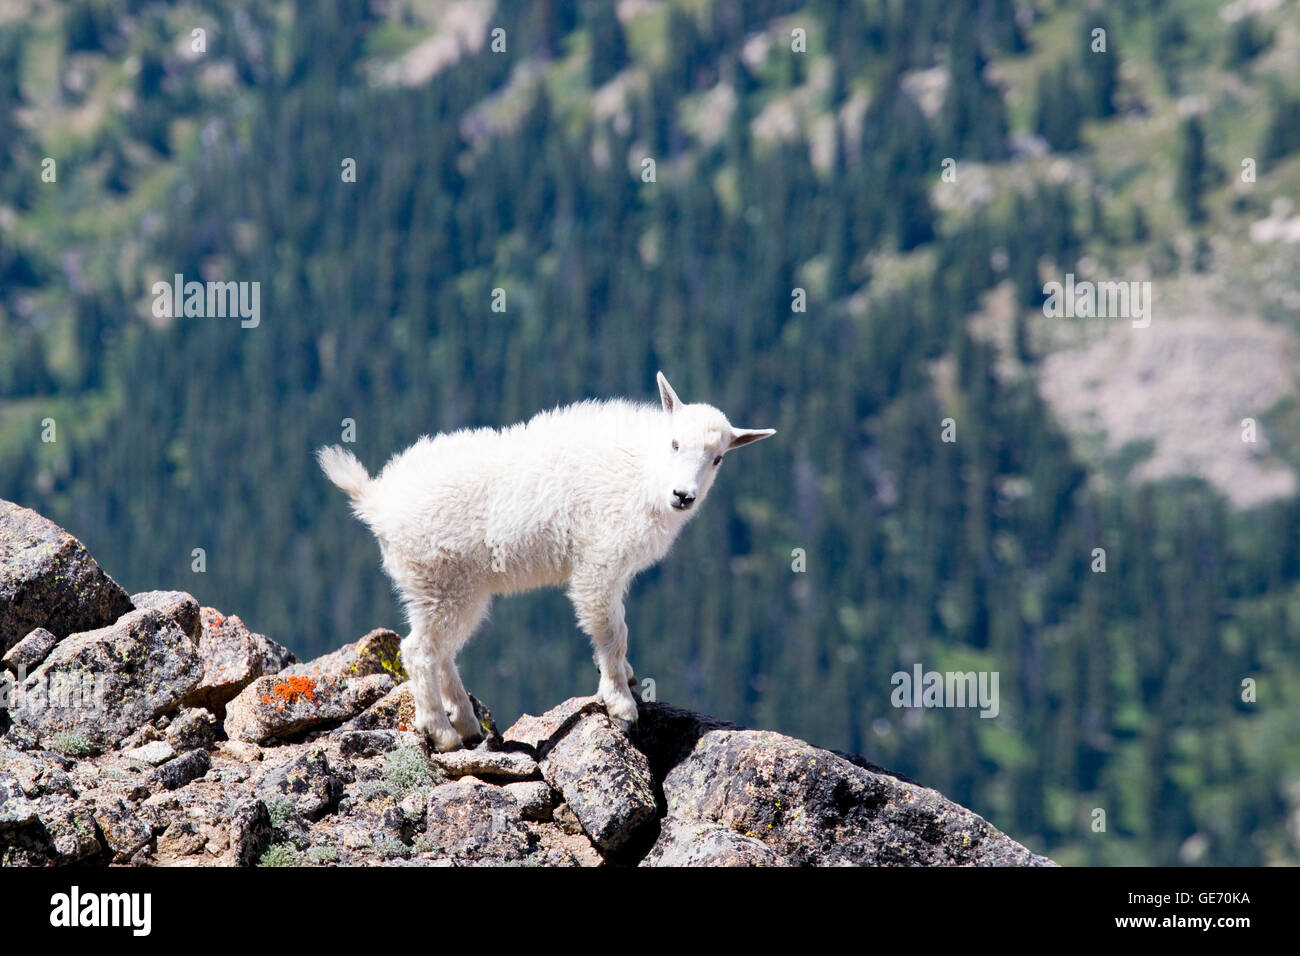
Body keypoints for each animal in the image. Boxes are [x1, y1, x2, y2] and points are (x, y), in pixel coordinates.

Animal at [319, 369, 774, 749]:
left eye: (718, 458)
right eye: (675, 443)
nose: (683, 496)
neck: (643, 473)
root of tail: (377, 503)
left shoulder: (616, 573)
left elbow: (619, 626)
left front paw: (627, 678)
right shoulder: (598, 563)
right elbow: (611, 631)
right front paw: (622, 705)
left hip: (446, 590)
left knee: (441, 651)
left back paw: (467, 724)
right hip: (442, 583)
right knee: (419, 651)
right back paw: (442, 732)